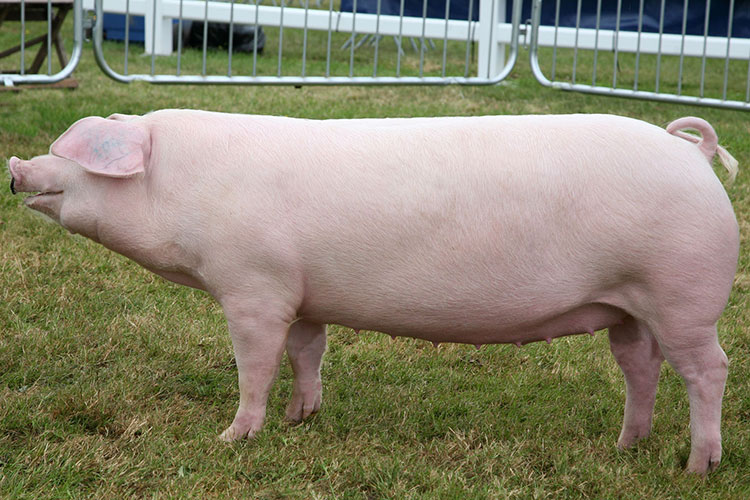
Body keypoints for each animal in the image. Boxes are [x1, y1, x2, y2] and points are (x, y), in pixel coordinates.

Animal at [7, 111, 739, 475]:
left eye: (72, 154)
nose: (14, 167)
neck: (184, 184)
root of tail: (691, 153)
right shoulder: (303, 292)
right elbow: (308, 350)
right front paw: (302, 419)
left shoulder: (253, 284)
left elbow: (255, 362)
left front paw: (232, 437)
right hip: (629, 304)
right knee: (640, 365)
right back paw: (626, 448)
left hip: (683, 292)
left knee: (707, 369)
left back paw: (697, 467)